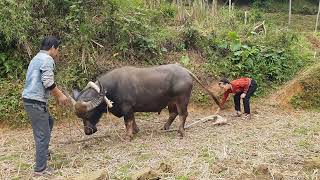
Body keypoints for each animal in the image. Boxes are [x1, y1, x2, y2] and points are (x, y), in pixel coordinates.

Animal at [69, 63, 220, 141]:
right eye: (80, 117)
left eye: (89, 114)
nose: (88, 131)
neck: (110, 89)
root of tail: (185, 71)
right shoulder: (130, 109)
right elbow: (133, 120)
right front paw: (136, 131)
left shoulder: (127, 108)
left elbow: (127, 121)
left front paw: (129, 136)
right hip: (171, 101)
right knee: (173, 113)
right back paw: (165, 127)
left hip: (182, 99)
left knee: (183, 114)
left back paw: (180, 132)